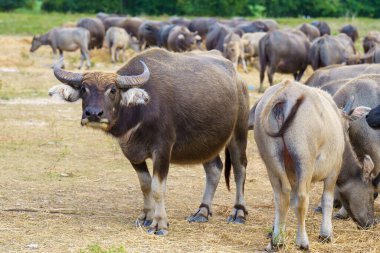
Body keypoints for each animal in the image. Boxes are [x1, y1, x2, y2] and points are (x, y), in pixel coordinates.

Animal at [47, 49, 249, 235]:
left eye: (113, 90)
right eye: (83, 89)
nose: (94, 114)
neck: (140, 111)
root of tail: (238, 79)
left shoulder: (163, 150)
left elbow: (157, 187)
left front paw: (159, 223)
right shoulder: (131, 152)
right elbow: (145, 185)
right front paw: (146, 216)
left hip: (238, 134)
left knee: (240, 169)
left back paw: (238, 212)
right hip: (206, 144)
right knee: (214, 169)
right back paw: (202, 212)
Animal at [249, 80, 378, 250]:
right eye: (373, 194)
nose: (371, 223)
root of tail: (285, 92)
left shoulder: (292, 176)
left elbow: (290, 200)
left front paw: (275, 231)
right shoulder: (333, 171)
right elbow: (327, 200)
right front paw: (326, 234)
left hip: (271, 160)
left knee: (281, 197)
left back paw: (277, 241)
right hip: (304, 160)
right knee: (302, 199)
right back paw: (302, 242)